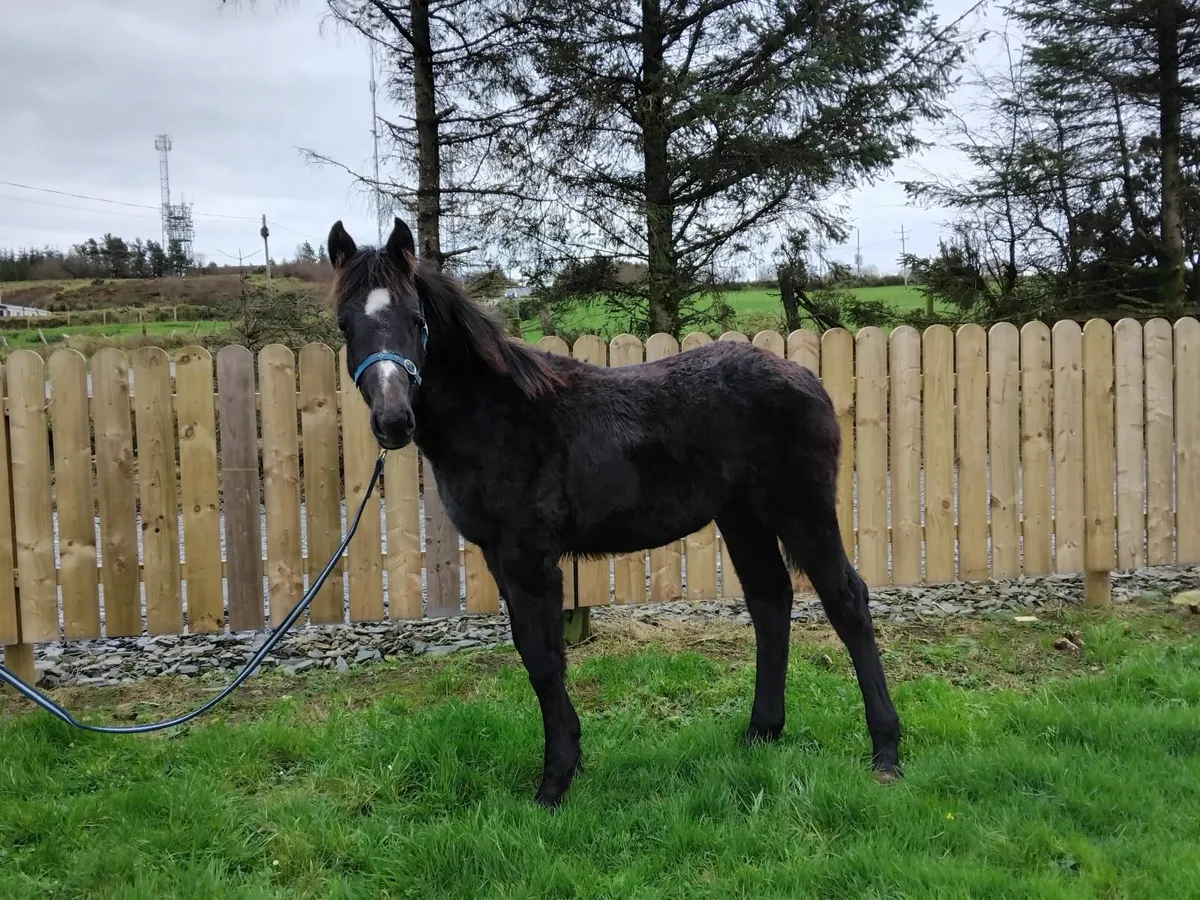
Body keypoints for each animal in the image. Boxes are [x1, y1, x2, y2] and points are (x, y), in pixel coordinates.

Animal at [327, 216, 902, 808]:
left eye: (416, 320)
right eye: (346, 326)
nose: (394, 421)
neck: (501, 418)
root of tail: (809, 381)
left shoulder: (530, 559)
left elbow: (544, 660)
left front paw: (555, 780)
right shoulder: (499, 559)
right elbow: (532, 653)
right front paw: (569, 762)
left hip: (802, 513)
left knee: (847, 602)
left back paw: (885, 751)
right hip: (743, 518)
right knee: (770, 601)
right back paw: (761, 733)